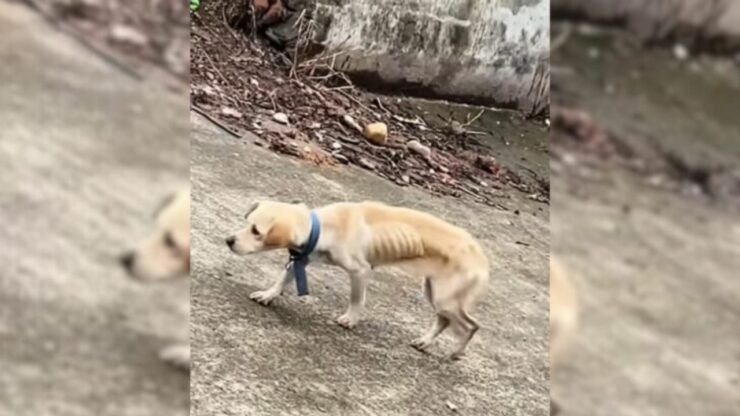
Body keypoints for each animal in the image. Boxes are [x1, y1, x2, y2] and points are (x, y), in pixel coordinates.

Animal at [225, 200, 492, 360]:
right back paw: (425, 342)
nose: (228, 240)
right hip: (433, 290)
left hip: (446, 298)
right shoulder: (302, 257)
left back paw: (456, 352)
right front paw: (268, 295)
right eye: (247, 223)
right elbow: (282, 279)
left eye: (256, 231)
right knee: (444, 321)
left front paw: (350, 320)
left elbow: (356, 299)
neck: (323, 226)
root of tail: (482, 260)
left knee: (471, 326)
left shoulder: (360, 271)